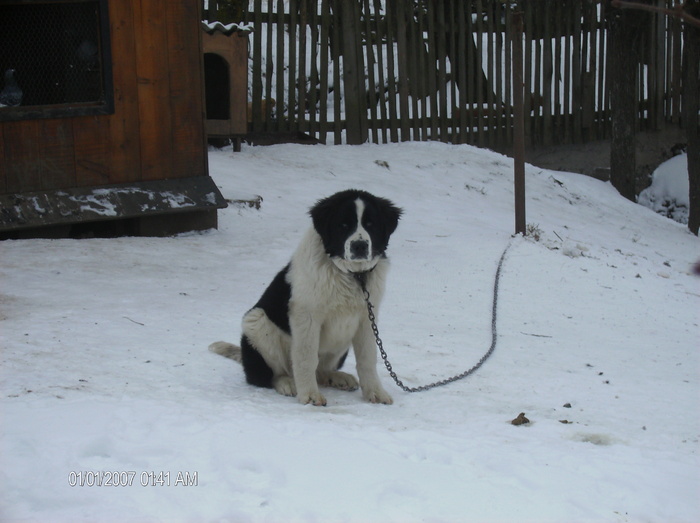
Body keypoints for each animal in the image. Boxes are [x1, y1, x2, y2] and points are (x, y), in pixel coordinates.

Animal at [209, 190, 400, 408]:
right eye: (343, 225)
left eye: (370, 224)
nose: (359, 245)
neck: (352, 275)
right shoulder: (306, 315)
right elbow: (306, 357)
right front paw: (309, 395)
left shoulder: (367, 318)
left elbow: (368, 358)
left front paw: (375, 392)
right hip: (256, 321)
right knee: (268, 375)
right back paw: (287, 383)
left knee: (321, 371)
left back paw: (337, 377)